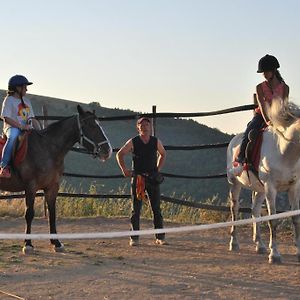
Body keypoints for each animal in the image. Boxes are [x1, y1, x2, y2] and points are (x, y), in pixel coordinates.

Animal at [0, 105, 112, 253]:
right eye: (91, 125)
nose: (108, 150)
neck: (47, 149)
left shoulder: (52, 187)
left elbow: (52, 213)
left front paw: (56, 243)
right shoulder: (31, 187)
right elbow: (29, 214)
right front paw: (28, 244)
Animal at [227, 98, 300, 262]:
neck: (284, 151)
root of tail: (233, 141)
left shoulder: (293, 187)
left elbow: (295, 218)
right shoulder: (270, 188)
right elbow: (273, 220)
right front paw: (275, 254)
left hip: (260, 189)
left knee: (255, 211)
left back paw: (260, 245)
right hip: (235, 183)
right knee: (235, 209)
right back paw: (234, 243)